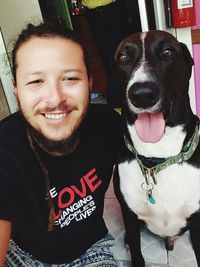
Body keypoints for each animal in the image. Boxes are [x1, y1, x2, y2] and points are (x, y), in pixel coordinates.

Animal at [114, 30, 200, 266]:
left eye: (167, 52)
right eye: (123, 57)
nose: (142, 94)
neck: (158, 158)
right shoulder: (129, 216)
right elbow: (136, 251)